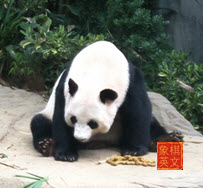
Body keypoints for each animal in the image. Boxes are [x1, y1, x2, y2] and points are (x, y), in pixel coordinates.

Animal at [30, 41, 182, 162]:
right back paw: (47, 145)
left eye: (93, 123)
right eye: (73, 119)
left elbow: (138, 113)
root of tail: (103, 141)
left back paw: (167, 139)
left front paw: (134, 149)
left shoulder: (132, 82)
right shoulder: (65, 87)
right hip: (47, 113)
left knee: (152, 123)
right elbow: (60, 117)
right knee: (39, 122)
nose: (79, 137)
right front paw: (66, 154)